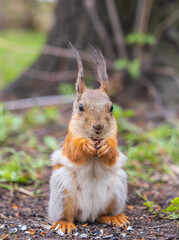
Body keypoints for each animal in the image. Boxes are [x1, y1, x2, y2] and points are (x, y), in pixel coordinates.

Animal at [47, 45, 129, 232]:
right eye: (80, 107)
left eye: (111, 107)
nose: (98, 126)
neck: (95, 137)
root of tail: (89, 214)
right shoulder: (70, 140)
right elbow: (74, 152)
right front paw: (85, 146)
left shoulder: (114, 138)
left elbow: (113, 155)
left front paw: (107, 147)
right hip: (61, 188)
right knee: (66, 215)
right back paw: (64, 223)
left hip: (118, 186)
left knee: (103, 214)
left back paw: (114, 217)